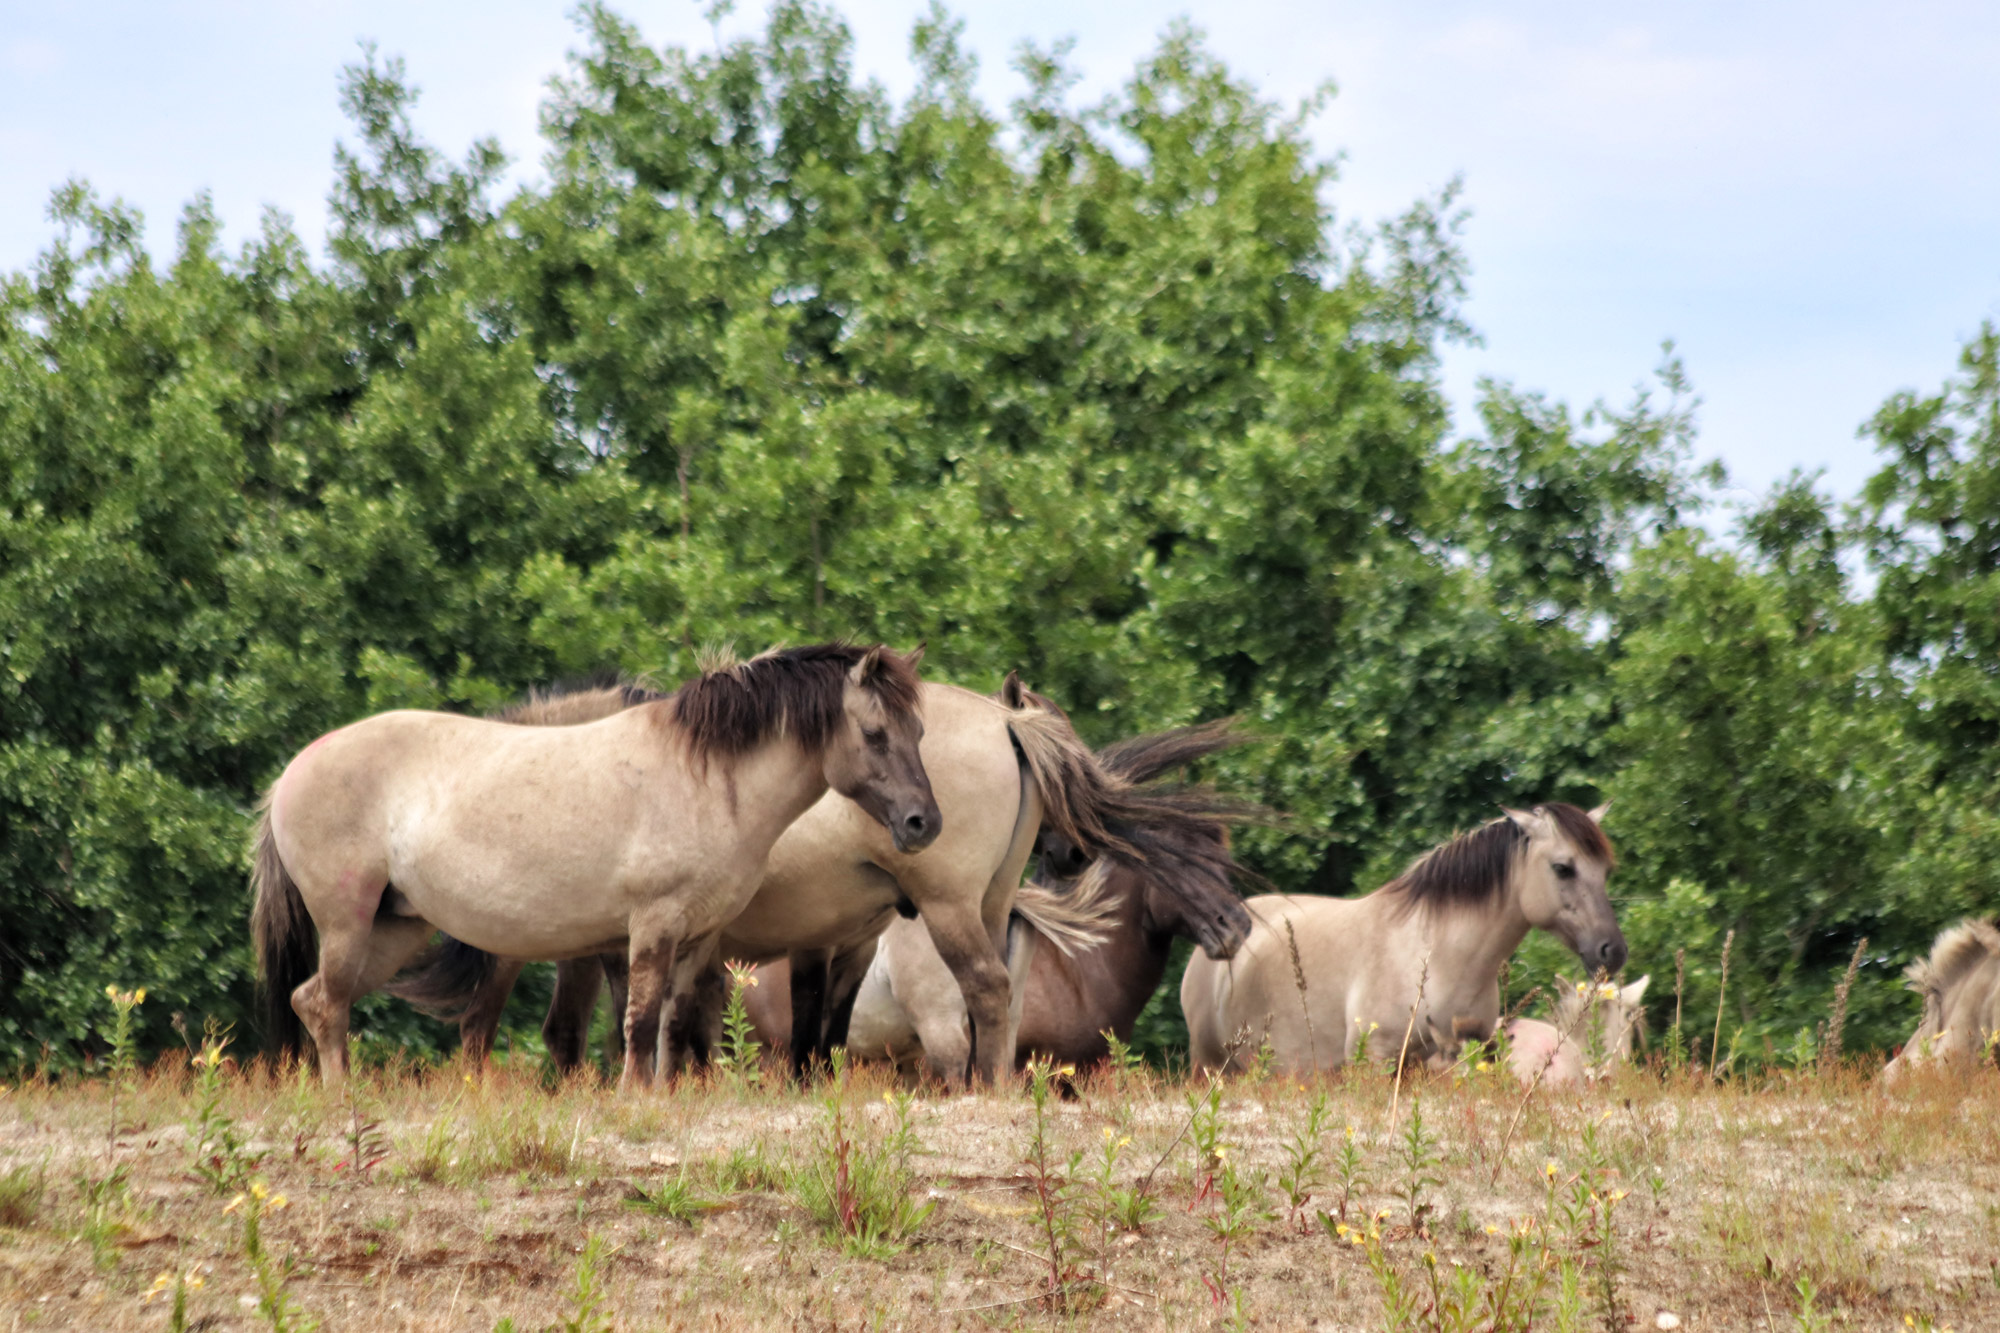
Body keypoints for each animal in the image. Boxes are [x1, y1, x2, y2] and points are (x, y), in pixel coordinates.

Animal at [252, 640, 936, 1088]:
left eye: (920, 732)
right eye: (874, 734)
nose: (923, 823)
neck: (705, 777)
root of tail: (292, 771)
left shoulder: (698, 937)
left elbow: (675, 1024)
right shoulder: (650, 928)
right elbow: (640, 1019)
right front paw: (635, 1097)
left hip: (396, 928)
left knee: (314, 999)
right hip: (349, 921)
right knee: (329, 1004)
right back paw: (343, 1098)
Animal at [396, 668, 1168, 1088]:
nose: (1073, 853)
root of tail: (1002, 721)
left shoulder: (632, 941)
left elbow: (635, 1026)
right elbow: (740, 1031)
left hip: (950, 908)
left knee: (984, 989)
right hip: (983, 904)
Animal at [1176, 800, 1616, 1072]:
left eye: (1606, 870)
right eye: (1563, 868)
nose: (1613, 950)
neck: (1435, 955)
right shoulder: (1377, 1060)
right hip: (1210, 1066)